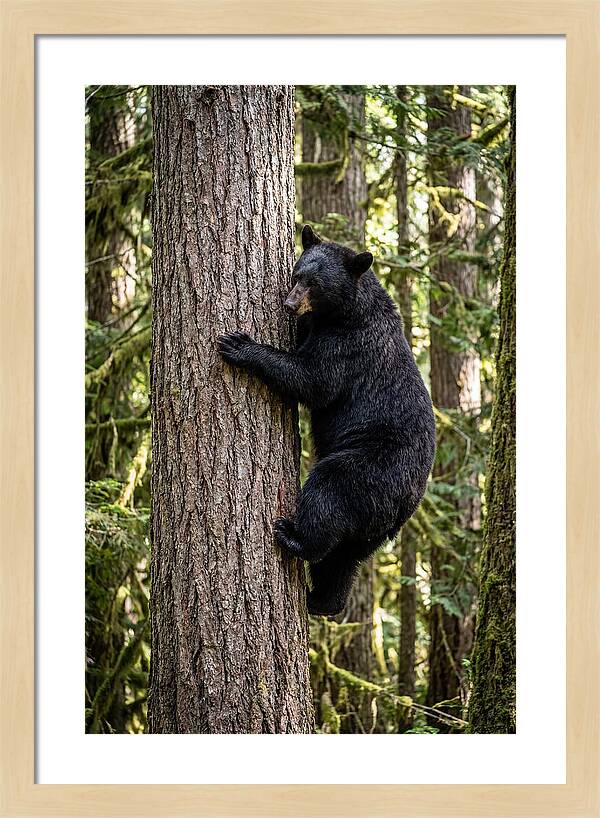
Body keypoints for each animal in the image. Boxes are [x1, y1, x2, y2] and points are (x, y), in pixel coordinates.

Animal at [218, 224, 436, 616]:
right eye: (296, 274)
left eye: (315, 284)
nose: (289, 304)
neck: (347, 312)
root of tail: (407, 504)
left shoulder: (348, 346)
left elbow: (312, 379)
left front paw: (240, 344)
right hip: (372, 526)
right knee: (344, 558)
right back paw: (323, 600)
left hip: (369, 469)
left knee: (328, 494)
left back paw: (293, 537)